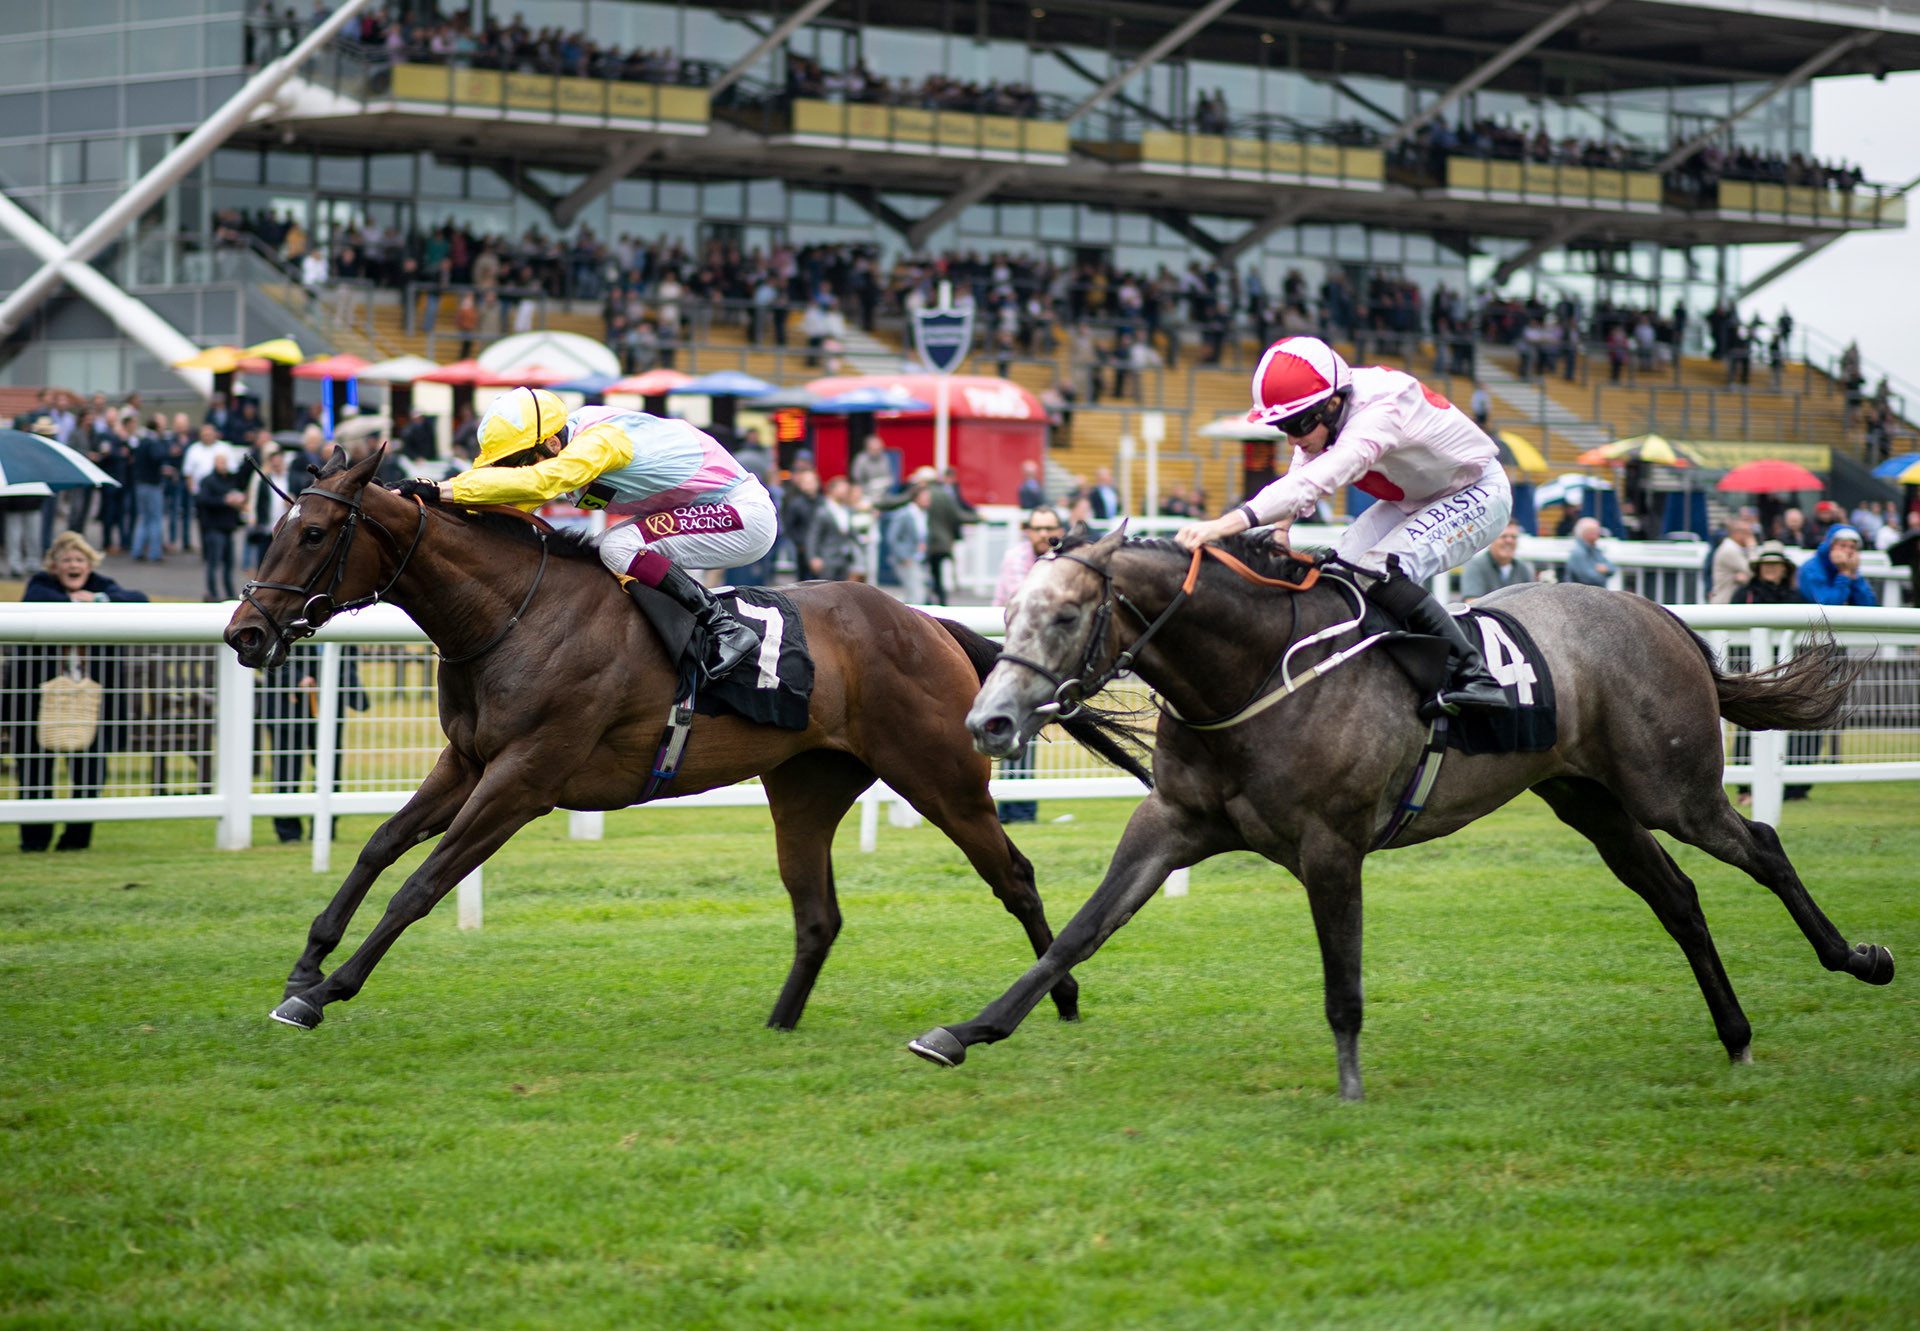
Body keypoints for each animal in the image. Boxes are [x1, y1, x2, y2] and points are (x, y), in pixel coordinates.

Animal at [222, 445, 1136, 1029]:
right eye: (276, 529)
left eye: (312, 534)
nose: (245, 633)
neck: (512, 613)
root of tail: (926, 621)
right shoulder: (468, 760)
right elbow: (379, 844)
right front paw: (306, 963)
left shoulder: (524, 777)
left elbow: (423, 883)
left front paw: (326, 991)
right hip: (806, 787)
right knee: (818, 913)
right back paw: (779, 1022)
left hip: (939, 774)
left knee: (1013, 875)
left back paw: (1060, 997)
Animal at [910, 530, 1889, 1098]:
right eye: (1010, 610)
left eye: (1066, 616)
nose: (987, 722)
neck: (1253, 673)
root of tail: (1660, 612)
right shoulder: (1171, 825)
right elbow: (1078, 934)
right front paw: (963, 1030)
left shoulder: (1331, 844)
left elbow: (1342, 978)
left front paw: (1348, 1090)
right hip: (1590, 800)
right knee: (1677, 896)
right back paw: (1736, 1035)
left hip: (1668, 787)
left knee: (1761, 843)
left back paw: (1857, 957)